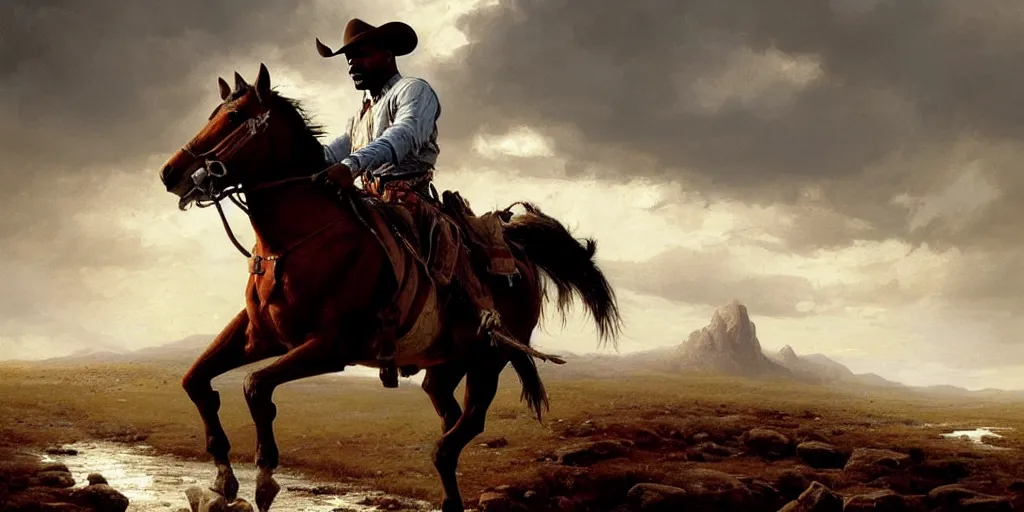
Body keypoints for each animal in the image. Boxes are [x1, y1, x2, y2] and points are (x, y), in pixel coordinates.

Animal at [155, 64, 618, 512]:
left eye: (234, 117)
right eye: (212, 114)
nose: (170, 173)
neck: (292, 246)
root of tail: (517, 249)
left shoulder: (330, 347)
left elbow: (255, 388)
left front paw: (265, 479)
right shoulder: (259, 335)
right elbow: (195, 381)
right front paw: (223, 476)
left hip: (489, 360)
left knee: (462, 431)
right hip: (445, 366)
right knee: (449, 421)